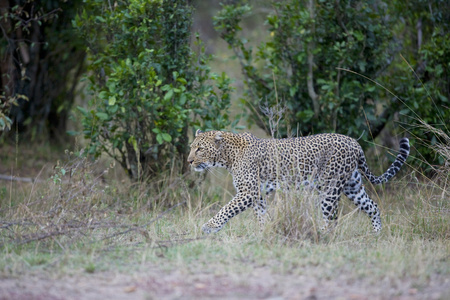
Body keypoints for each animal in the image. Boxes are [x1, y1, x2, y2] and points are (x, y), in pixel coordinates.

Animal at [188, 129, 410, 234]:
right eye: (192, 147)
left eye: (200, 149)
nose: (189, 161)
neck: (228, 156)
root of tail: (355, 143)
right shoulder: (257, 194)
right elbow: (261, 216)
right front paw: (262, 233)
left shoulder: (248, 192)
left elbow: (226, 209)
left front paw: (209, 226)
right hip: (352, 186)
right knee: (372, 206)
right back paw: (376, 234)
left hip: (329, 189)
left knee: (331, 219)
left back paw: (321, 236)